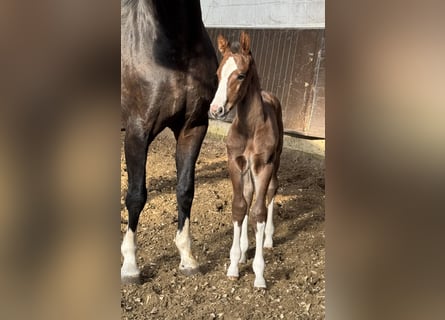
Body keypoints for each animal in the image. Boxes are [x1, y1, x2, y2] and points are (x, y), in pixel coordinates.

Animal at [120, 0, 218, 284]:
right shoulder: (137, 132)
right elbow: (136, 196)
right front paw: (130, 264)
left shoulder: (193, 128)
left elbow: (185, 190)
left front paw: (187, 258)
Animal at [208, 31, 280, 288]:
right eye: (218, 74)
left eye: (240, 75)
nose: (215, 109)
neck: (250, 128)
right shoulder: (235, 163)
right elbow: (240, 206)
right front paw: (233, 264)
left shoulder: (263, 165)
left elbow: (259, 211)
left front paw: (259, 275)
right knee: (248, 195)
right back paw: (244, 248)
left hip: (275, 161)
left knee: (271, 191)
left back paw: (267, 239)